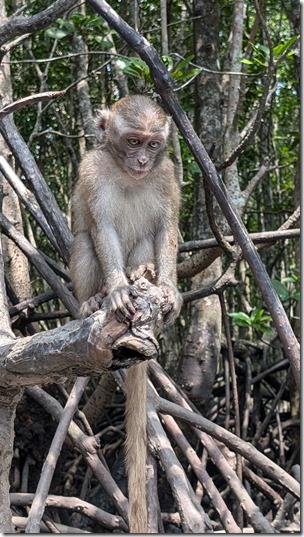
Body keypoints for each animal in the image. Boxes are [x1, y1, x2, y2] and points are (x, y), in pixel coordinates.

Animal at [70, 94, 182, 528]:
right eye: (132, 142)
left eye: (153, 144)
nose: (142, 161)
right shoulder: (91, 170)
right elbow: (100, 227)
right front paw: (118, 290)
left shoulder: (167, 174)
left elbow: (166, 229)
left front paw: (169, 289)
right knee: (85, 240)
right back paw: (94, 299)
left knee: (147, 242)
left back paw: (142, 273)